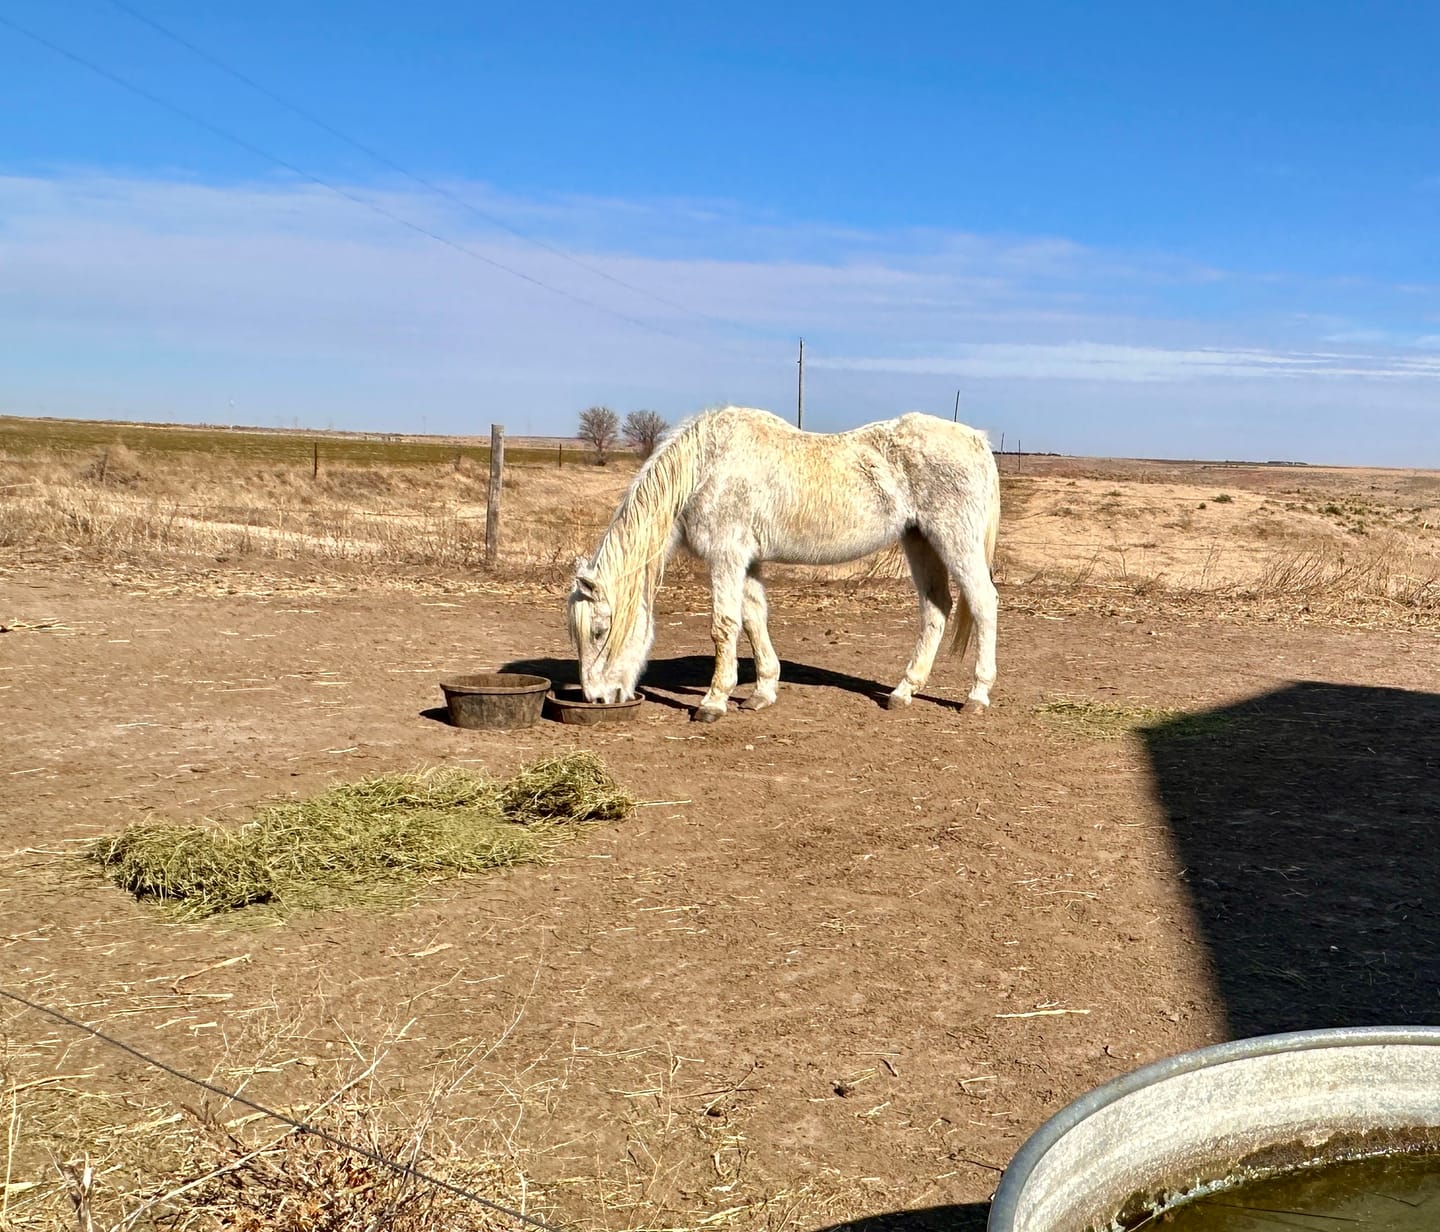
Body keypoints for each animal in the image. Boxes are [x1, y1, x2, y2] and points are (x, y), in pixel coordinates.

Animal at [567, 405, 1000, 722]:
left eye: (599, 631)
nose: (597, 698)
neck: (706, 468)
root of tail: (976, 440)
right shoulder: (748, 561)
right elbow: (754, 619)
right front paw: (762, 692)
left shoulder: (726, 556)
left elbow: (724, 626)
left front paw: (713, 702)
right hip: (920, 540)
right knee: (936, 608)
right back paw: (904, 691)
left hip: (955, 541)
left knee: (983, 603)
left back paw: (976, 696)